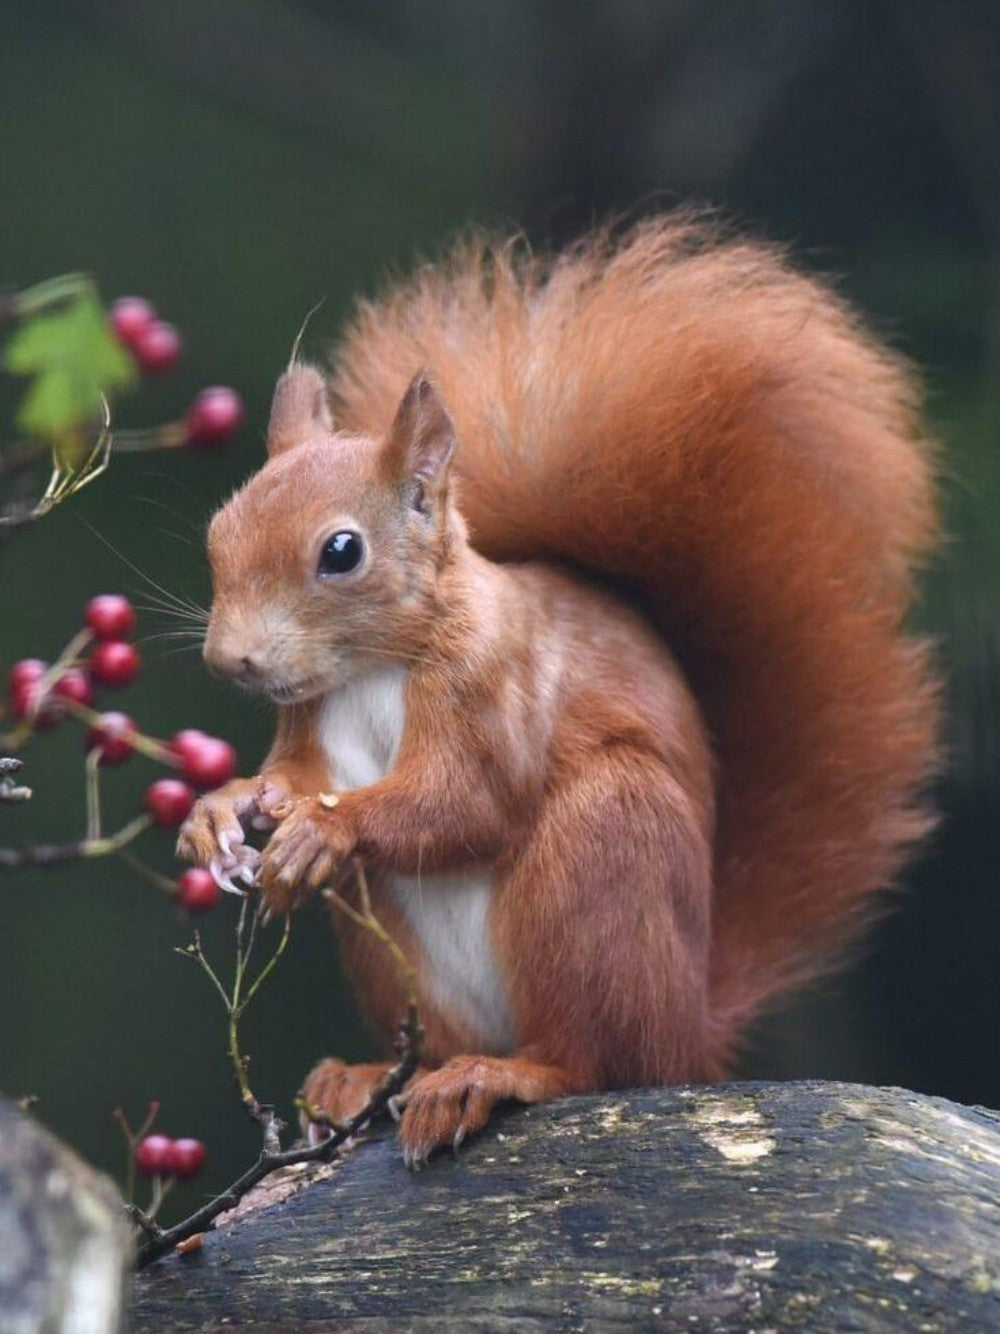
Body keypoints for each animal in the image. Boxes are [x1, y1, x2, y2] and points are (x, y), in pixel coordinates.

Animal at [177, 216, 940, 1166]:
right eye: (220, 530)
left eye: (341, 551)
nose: (229, 660)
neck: (373, 670)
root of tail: (691, 1023)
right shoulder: (310, 721)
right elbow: (290, 778)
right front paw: (221, 810)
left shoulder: (494, 686)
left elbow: (470, 799)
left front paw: (325, 829)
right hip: (391, 944)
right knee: (441, 1038)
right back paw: (368, 1080)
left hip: (598, 860)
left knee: (593, 1063)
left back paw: (495, 1079)